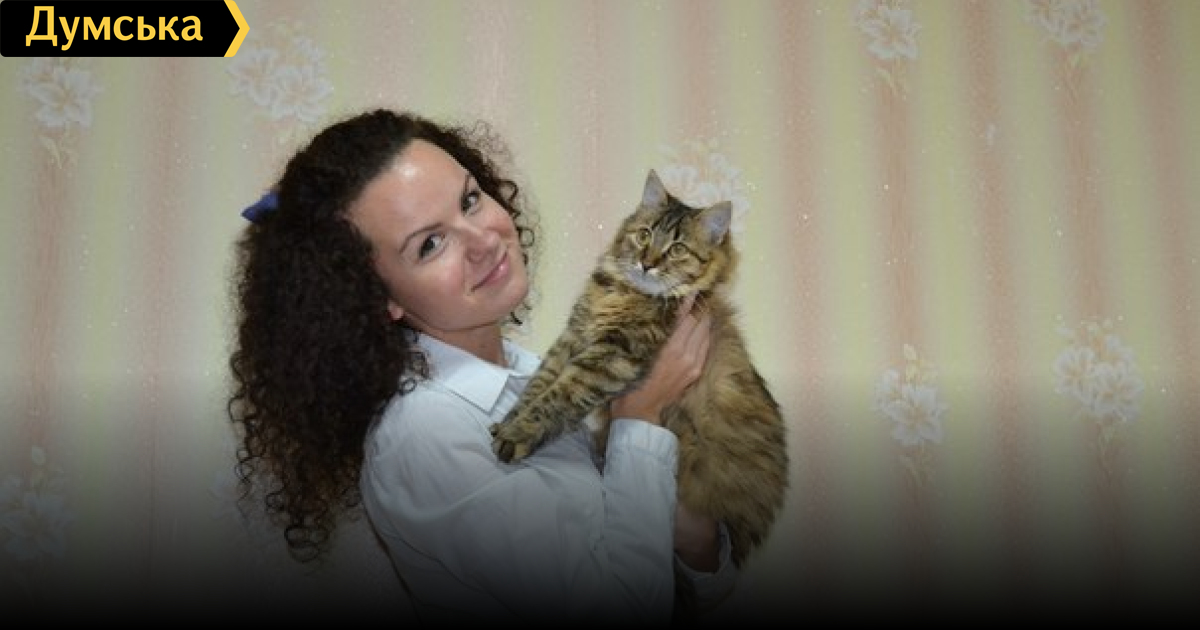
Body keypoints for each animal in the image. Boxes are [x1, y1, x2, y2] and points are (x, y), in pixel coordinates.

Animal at [489, 169, 789, 612]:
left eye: (677, 248)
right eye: (645, 235)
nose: (647, 263)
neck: (622, 291)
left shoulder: (611, 356)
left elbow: (556, 397)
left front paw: (516, 435)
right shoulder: (573, 337)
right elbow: (539, 385)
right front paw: (510, 420)